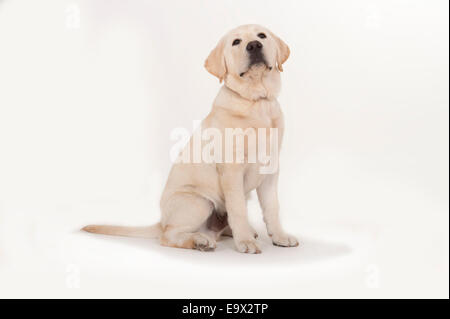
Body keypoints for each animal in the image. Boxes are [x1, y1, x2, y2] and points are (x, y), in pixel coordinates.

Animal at [82, 24, 298, 255]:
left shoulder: (270, 169)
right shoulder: (232, 170)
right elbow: (238, 208)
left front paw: (280, 236)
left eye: (262, 36)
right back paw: (200, 241)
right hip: (199, 202)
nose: (254, 45)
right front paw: (245, 242)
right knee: (168, 236)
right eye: (236, 42)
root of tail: (161, 221)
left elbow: (272, 207)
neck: (257, 102)